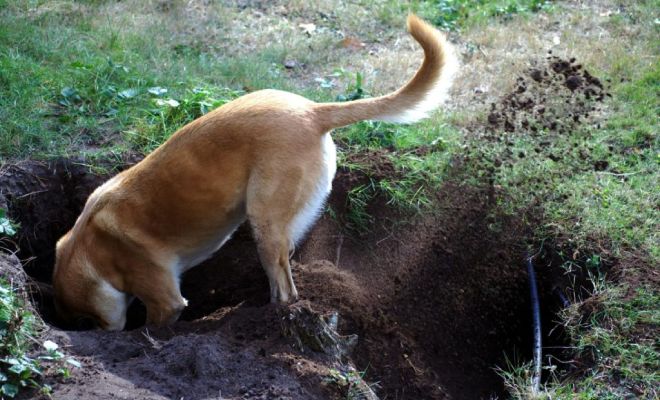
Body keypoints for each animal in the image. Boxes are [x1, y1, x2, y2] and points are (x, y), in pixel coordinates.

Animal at [51, 14, 456, 330]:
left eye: (88, 321)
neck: (91, 246)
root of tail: (312, 111)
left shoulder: (165, 300)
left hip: (265, 220)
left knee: (285, 290)